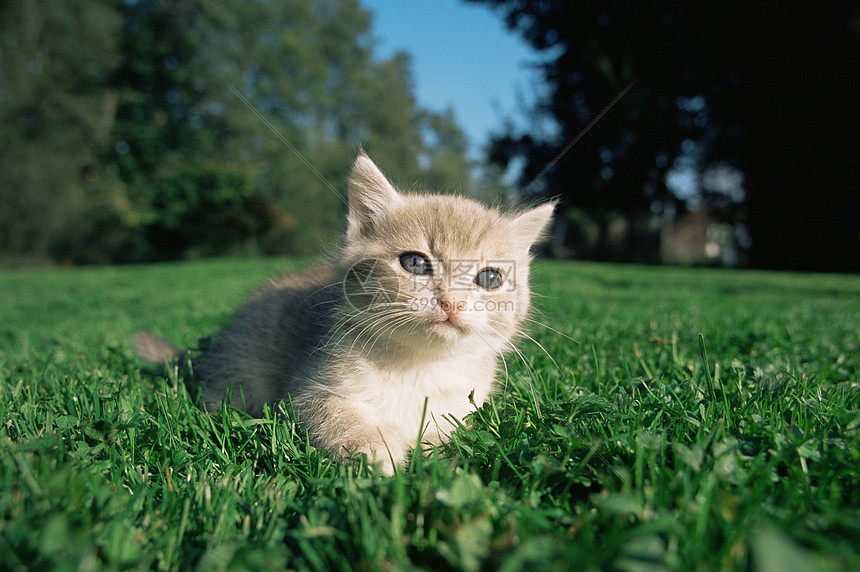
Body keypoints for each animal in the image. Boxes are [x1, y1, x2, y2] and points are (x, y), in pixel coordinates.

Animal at [134, 152, 552, 474]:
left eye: (490, 278)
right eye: (415, 263)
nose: (452, 302)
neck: (418, 366)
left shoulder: (460, 411)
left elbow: (445, 437)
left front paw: (435, 459)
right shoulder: (308, 393)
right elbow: (341, 420)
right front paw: (380, 456)